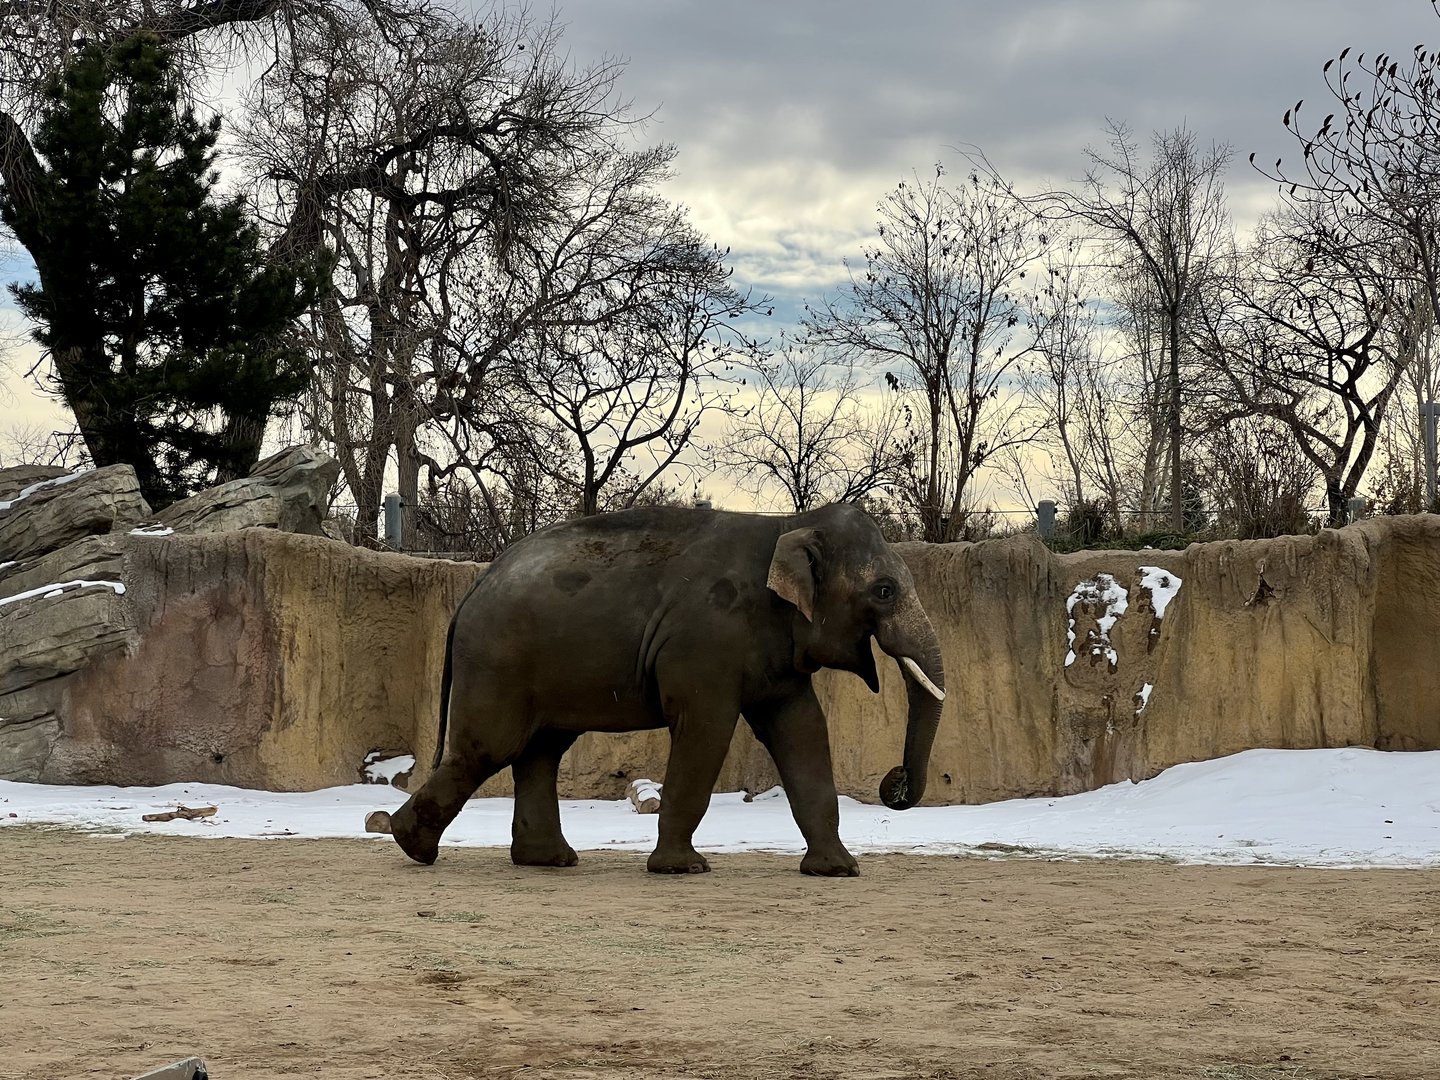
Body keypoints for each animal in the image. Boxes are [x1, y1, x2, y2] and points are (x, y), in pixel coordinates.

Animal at [385, 501, 947, 876]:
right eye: (884, 591)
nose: (894, 782)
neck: (789, 522)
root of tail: (471, 589)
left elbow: (802, 728)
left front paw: (838, 871)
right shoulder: (706, 641)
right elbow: (706, 728)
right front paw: (682, 869)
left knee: (540, 750)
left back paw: (547, 861)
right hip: (498, 661)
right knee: (490, 749)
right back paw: (414, 846)